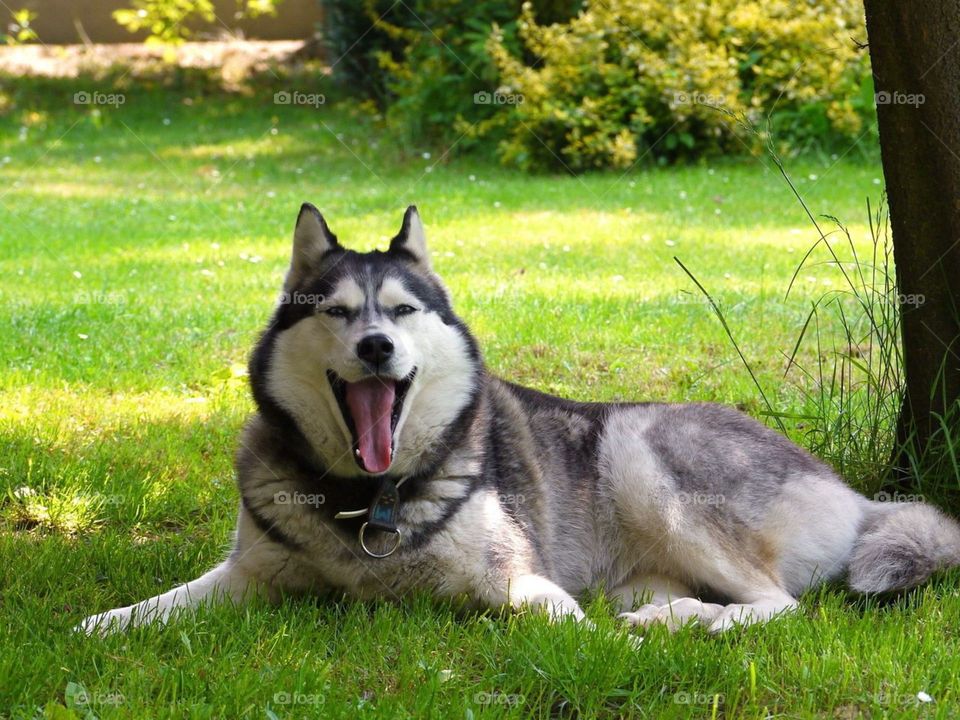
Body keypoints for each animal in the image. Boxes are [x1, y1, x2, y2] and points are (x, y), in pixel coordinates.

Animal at [80, 204, 960, 636]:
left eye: (402, 309)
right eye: (337, 312)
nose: (375, 345)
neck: (369, 501)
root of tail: (856, 495)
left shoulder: (520, 581)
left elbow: (566, 628)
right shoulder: (249, 576)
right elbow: (154, 607)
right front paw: (98, 624)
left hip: (640, 452)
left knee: (782, 605)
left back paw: (685, 620)